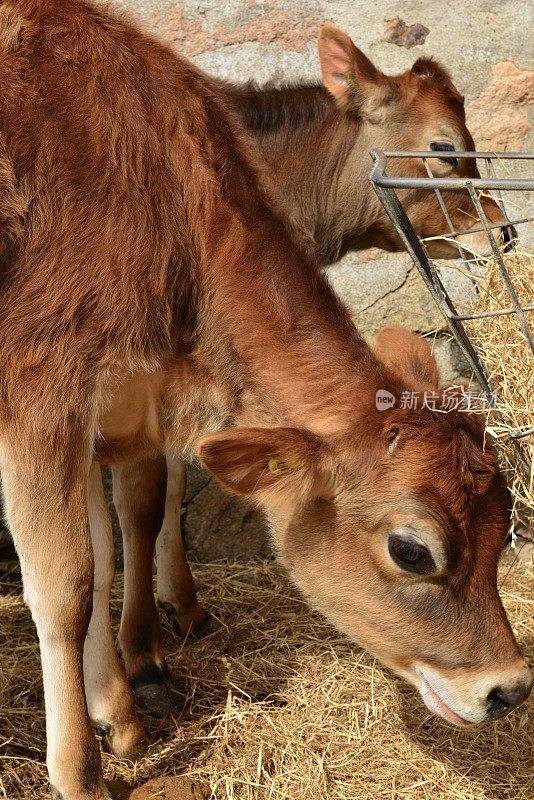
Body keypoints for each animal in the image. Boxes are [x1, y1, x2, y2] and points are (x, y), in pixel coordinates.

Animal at [0, 3, 528, 796]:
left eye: (504, 525)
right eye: (411, 551)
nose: (508, 689)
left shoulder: (115, 404)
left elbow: (113, 536)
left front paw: (119, 708)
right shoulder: (44, 390)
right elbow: (70, 578)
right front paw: (87, 763)